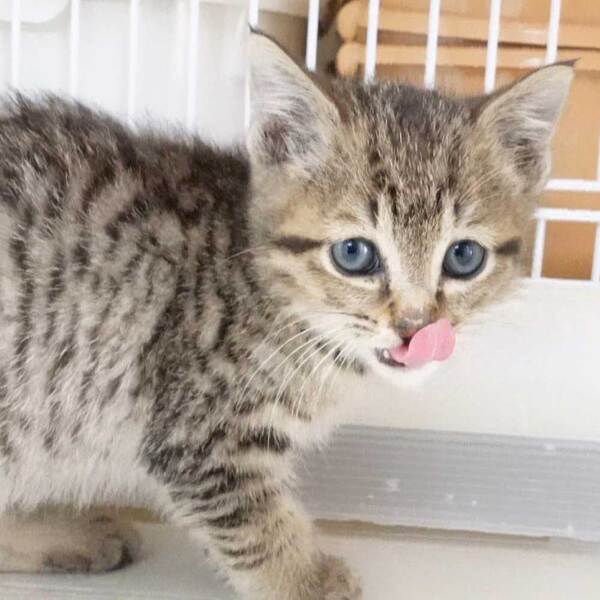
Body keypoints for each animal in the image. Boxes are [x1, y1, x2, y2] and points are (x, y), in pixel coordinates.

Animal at [0, 30, 572, 600]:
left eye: (463, 257)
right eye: (354, 254)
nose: (415, 327)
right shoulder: (200, 431)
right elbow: (258, 529)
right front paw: (307, 580)